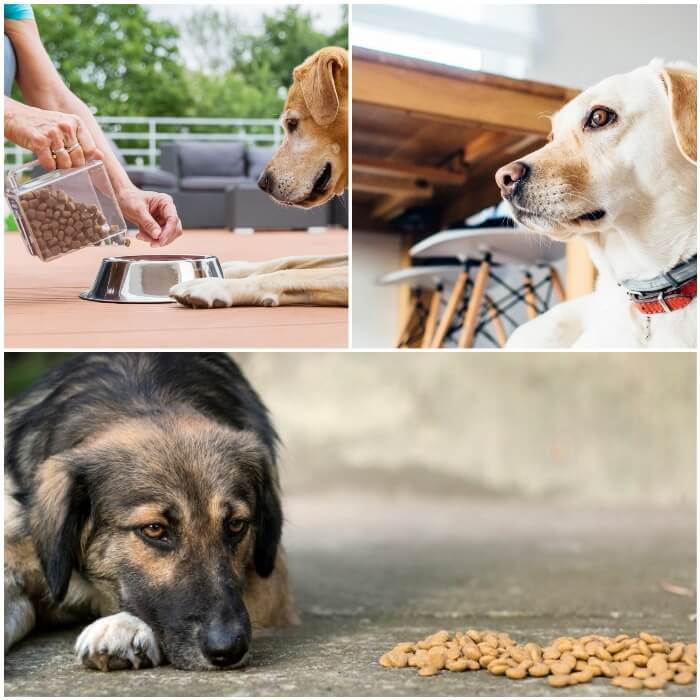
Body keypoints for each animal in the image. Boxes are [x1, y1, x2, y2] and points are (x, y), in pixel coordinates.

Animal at [168, 49, 346, 308]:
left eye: (292, 123)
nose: (263, 183)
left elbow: (289, 273)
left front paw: (214, 285)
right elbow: (291, 260)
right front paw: (226, 270)